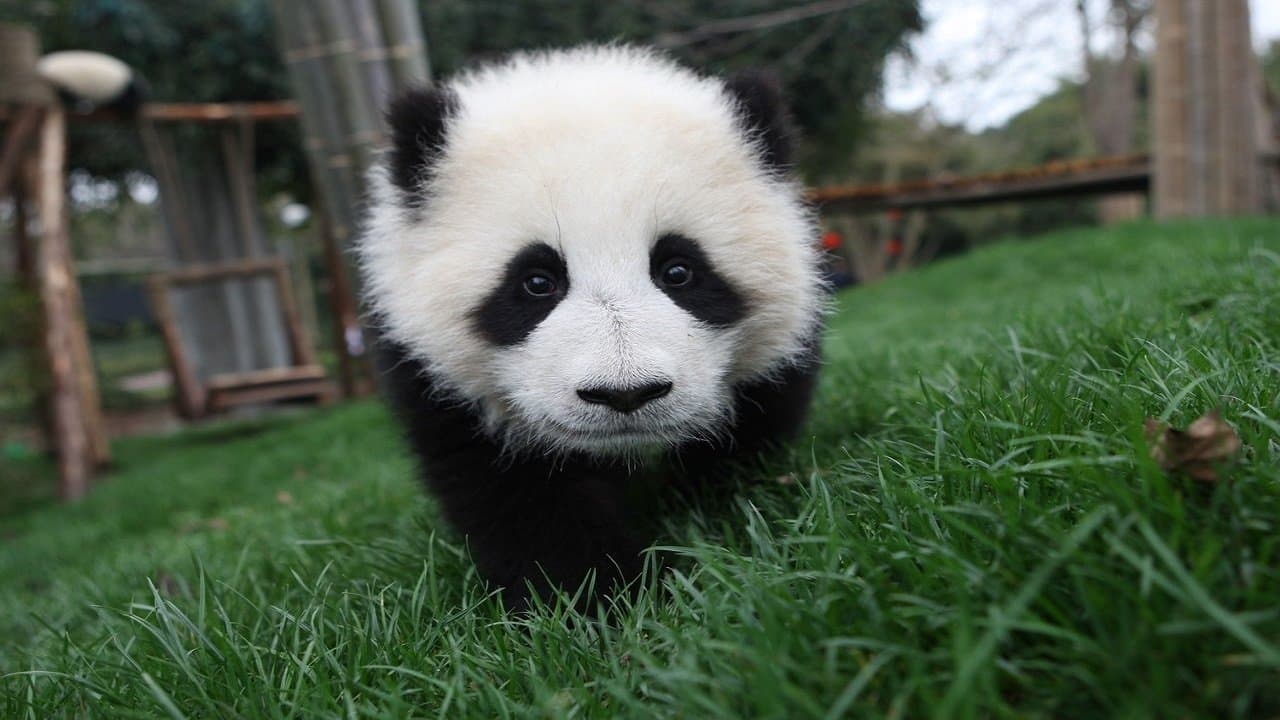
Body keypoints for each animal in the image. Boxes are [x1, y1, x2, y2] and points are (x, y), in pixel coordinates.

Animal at [360, 46, 826, 610]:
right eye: (537, 281)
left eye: (678, 271)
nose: (626, 394)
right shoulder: (431, 371)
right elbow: (513, 490)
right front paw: (600, 597)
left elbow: (752, 426)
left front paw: (711, 521)